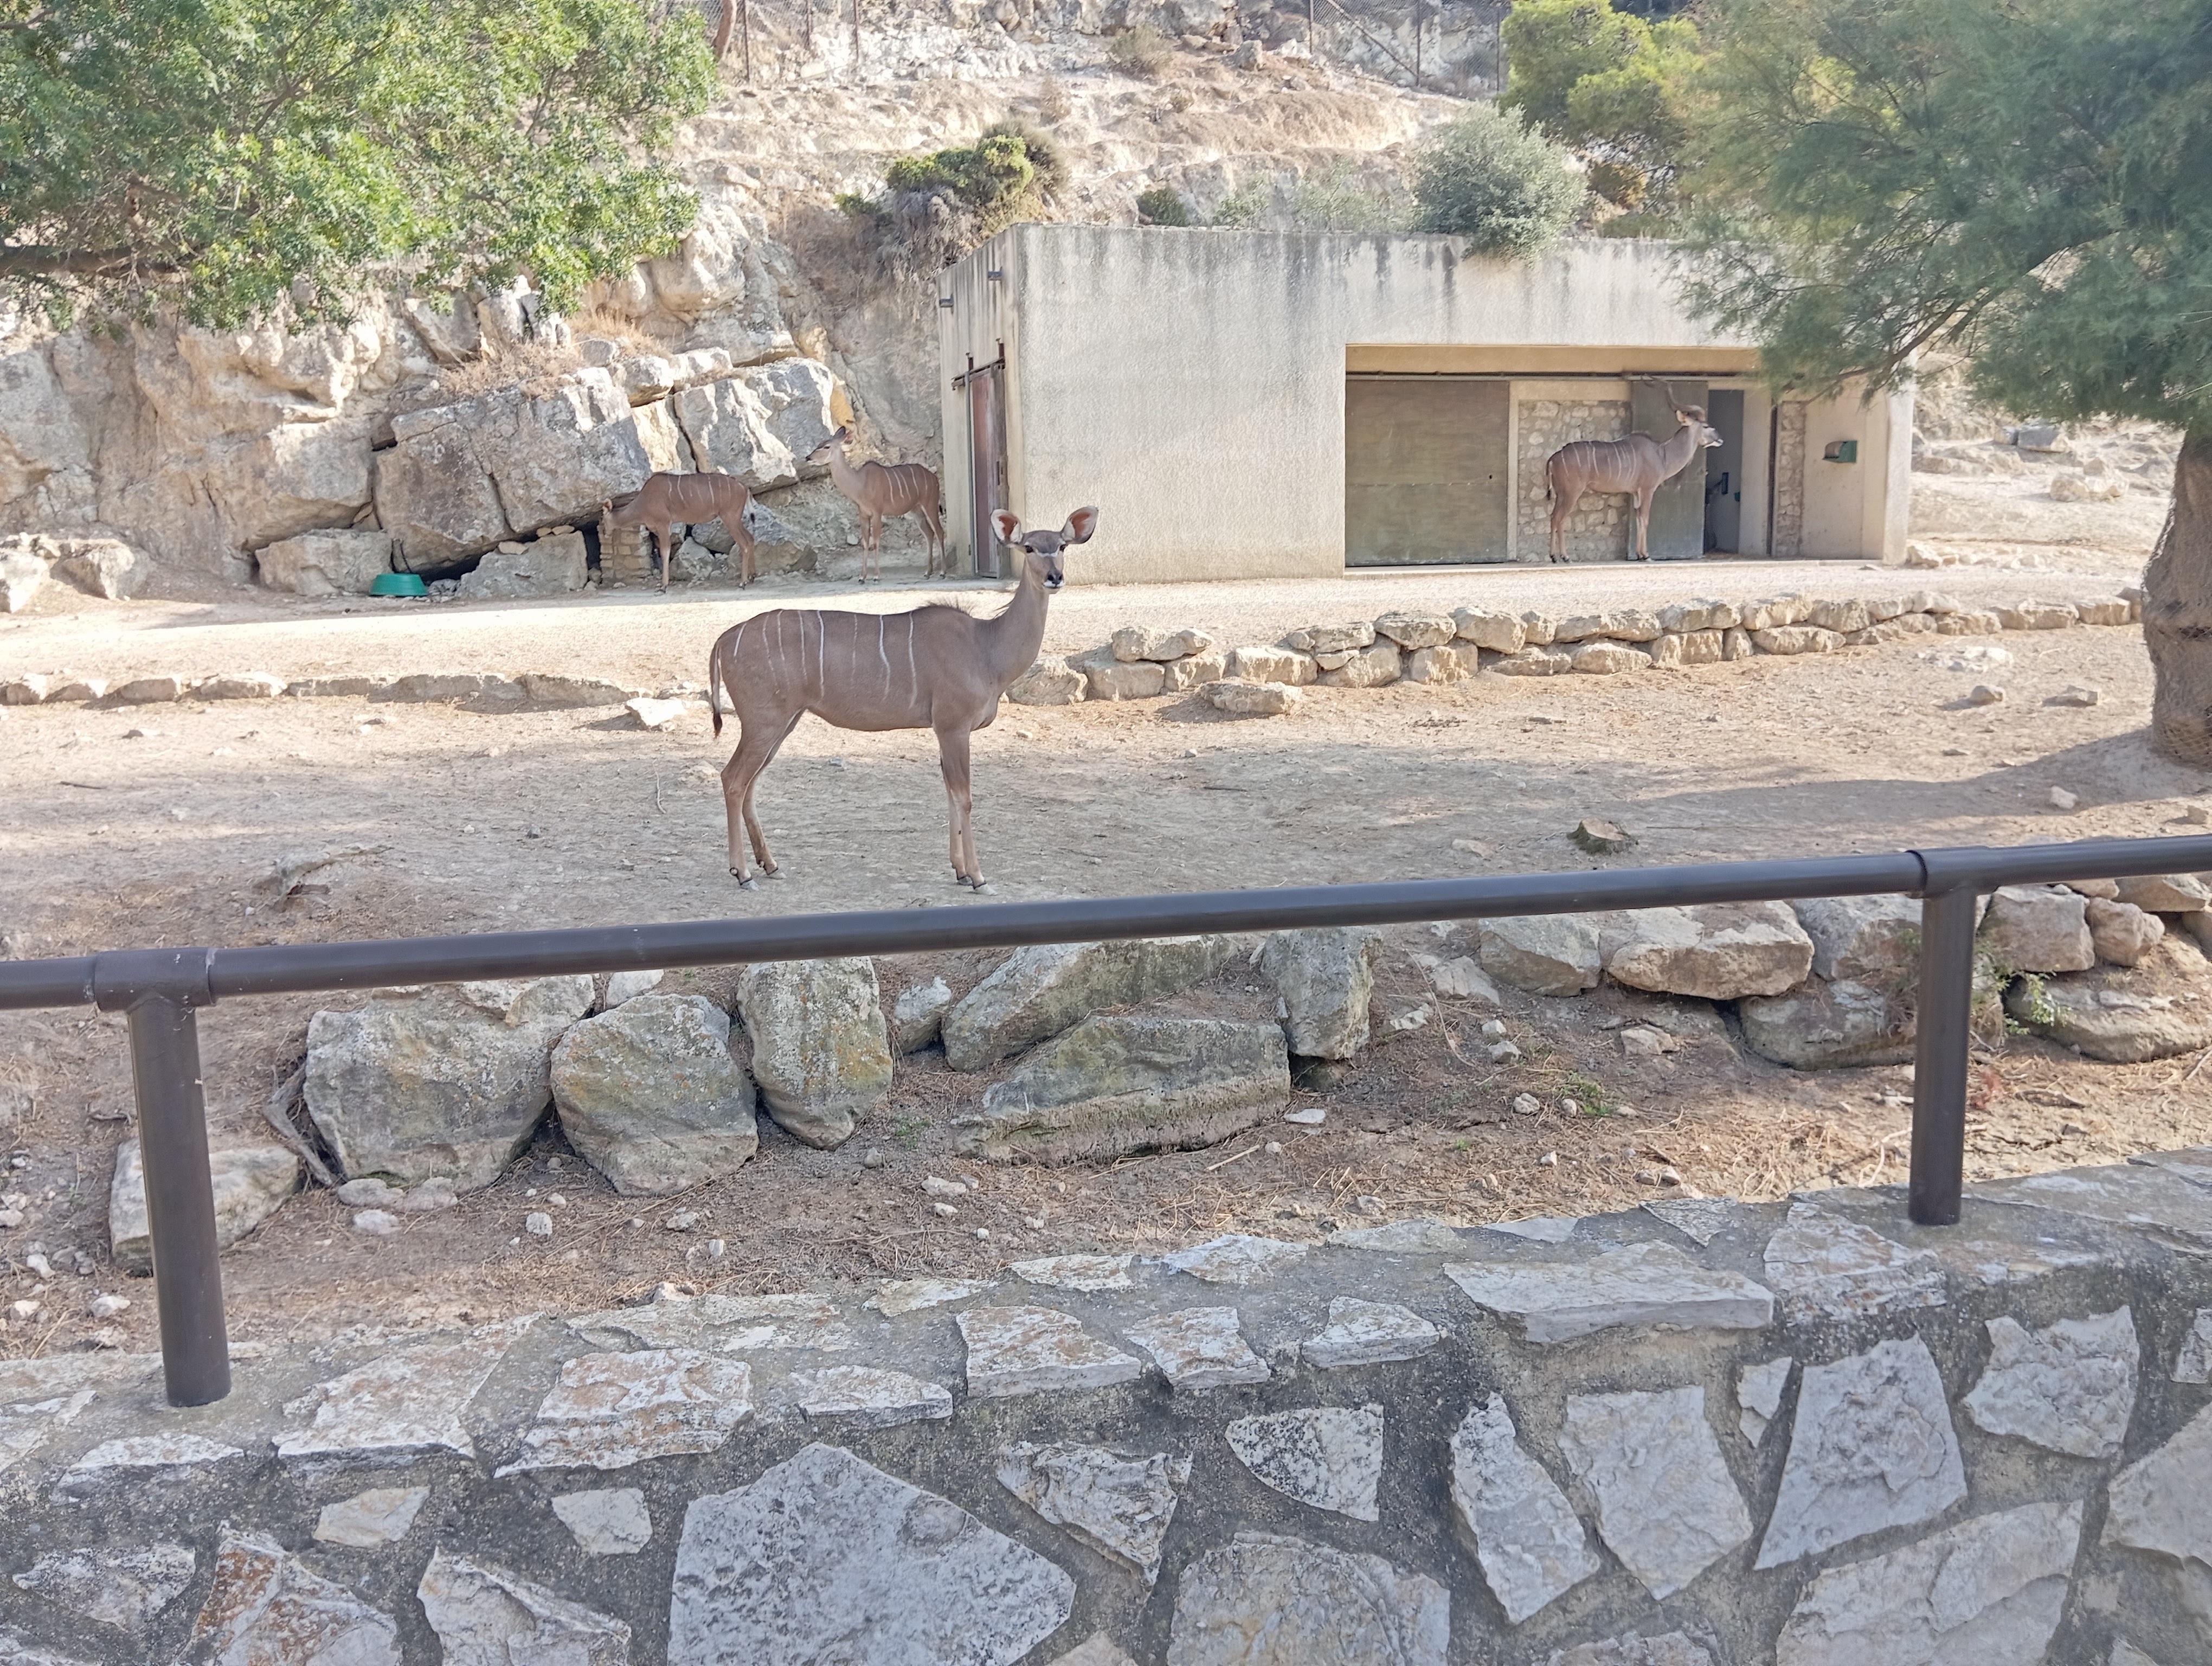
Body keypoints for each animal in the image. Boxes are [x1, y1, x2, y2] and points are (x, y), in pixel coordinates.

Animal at [600, 471, 759, 593]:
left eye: (603, 519)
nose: (605, 533)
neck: (643, 503)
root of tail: (745, 488)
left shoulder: (664, 523)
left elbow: (665, 552)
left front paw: (663, 586)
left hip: (730, 518)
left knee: (744, 544)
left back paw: (742, 583)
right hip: (735, 520)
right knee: (750, 539)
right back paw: (752, 577)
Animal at [706, 506, 1097, 892]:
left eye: (1062, 545)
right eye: (1029, 547)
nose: (1055, 577)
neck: (985, 647)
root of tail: (724, 640)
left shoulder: (944, 731)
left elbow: (950, 792)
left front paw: (960, 871)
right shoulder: (953, 726)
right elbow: (964, 796)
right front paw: (978, 877)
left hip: (783, 723)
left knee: (750, 783)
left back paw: (770, 865)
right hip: (764, 722)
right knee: (733, 779)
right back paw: (743, 873)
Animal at [806, 426, 947, 583]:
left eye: (827, 446)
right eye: (819, 444)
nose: (808, 458)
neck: (860, 484)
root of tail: (934, 478)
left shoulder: (877, 512)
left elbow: (876, 542)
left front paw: (876, 576)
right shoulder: (863, 514)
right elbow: (865, 543)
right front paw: (862, 577)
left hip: (930, 505)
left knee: (939, 531)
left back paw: (942, 572)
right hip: (916, 510)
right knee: (929, 533)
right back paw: (928, 572)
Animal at [1545, 388, 1723, 563]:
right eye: (1706, 426)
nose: (1720, 440)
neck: (1662, 455)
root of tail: (1554, 458)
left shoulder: (1636, 493)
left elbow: (1639, 520)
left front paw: (1639, 555)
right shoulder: (1647, 490)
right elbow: (1645, 519)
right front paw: (1646, 556)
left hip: (1561, 494)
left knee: (1553, 516)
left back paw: (1554, 556)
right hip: (1572, 493)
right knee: (1560, 518)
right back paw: (1565, 557)